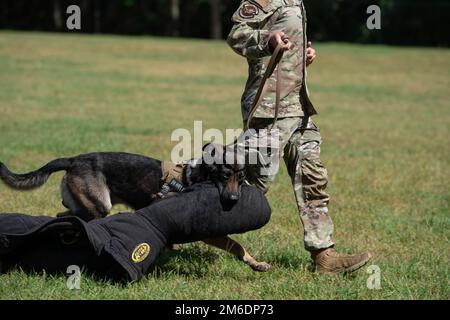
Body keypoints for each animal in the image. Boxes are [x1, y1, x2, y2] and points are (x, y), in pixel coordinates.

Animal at [0, 146, 270, 272]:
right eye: (224, 176)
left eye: (241, 177)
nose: (234, 199)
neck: (195, 175)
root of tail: (73, 159)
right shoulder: (208, 232)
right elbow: (235, 244)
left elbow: (237, 247)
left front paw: (256, 264)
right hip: (100, 206)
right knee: (77, 220)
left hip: (87, 206)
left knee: (62, 215)